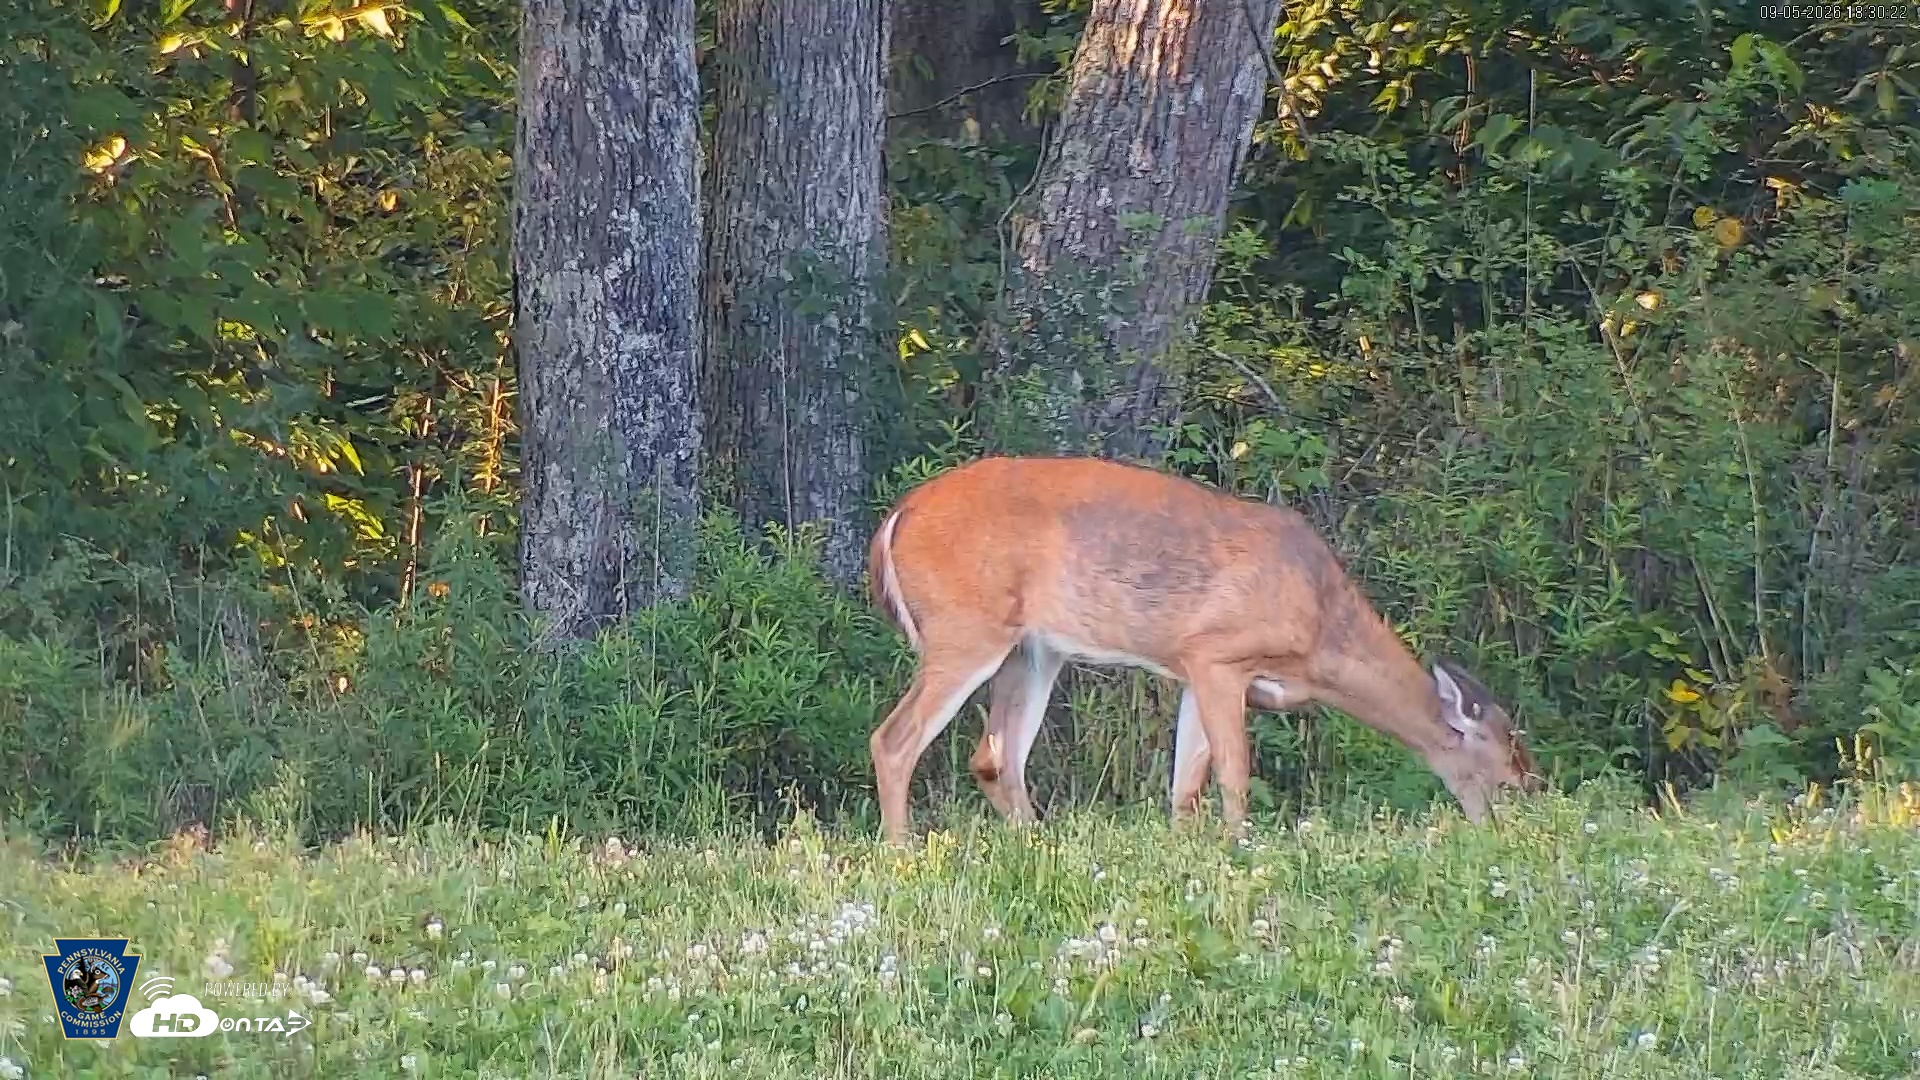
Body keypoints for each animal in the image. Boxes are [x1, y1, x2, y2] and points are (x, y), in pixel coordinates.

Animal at [865, 455, 1541, 845]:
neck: (1320, 633)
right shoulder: (1220, 655)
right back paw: (902, 854)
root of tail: (898, 515)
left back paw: (1033, 845)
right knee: (895, 739)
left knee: (994, 755)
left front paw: (1187, 856)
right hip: (966, 627)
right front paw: (1242, 850)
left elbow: (1184, 786)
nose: (1512, 834)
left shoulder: (1195, 669)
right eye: (1508, 779)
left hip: (1033, 649)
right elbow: (1234, 774)